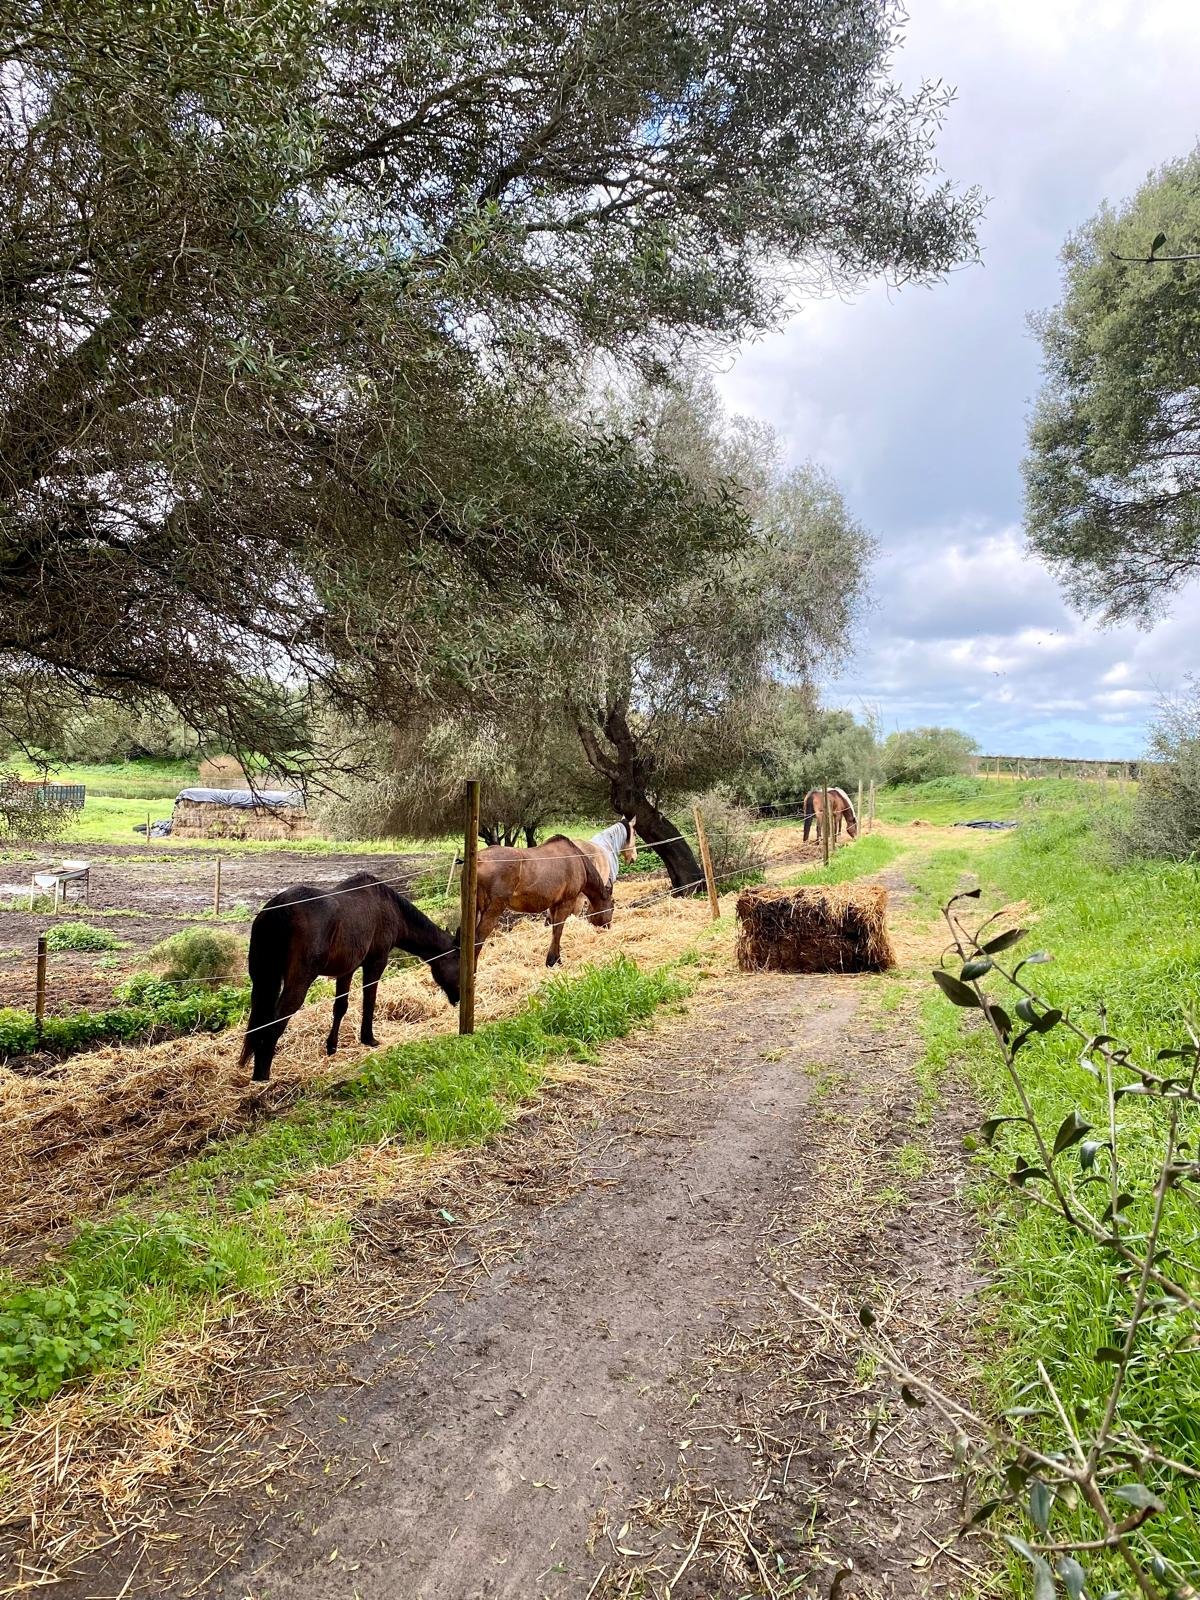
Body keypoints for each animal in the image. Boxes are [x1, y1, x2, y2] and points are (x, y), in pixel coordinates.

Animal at [240, 871, 460, 1082]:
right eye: (459, 962)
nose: (458, 997)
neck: (390, 907)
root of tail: (278, 908)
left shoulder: (346, 971)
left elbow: (340, 1007)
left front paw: (332, 1046)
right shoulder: (375, 963)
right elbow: (369, 1001)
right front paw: (368, 1038)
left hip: (262, 980)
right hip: (299, 981)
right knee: (275, 1022)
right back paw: (262, 1075)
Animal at [474, 835, 613, 967]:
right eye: (612, 909)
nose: (608, 928)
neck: (578, 860)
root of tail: (479, 860)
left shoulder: (554, 905)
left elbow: (553, 930)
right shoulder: (566, 903)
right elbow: (558, 930)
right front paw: (554, 961)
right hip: (492, 911)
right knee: (478, 939)